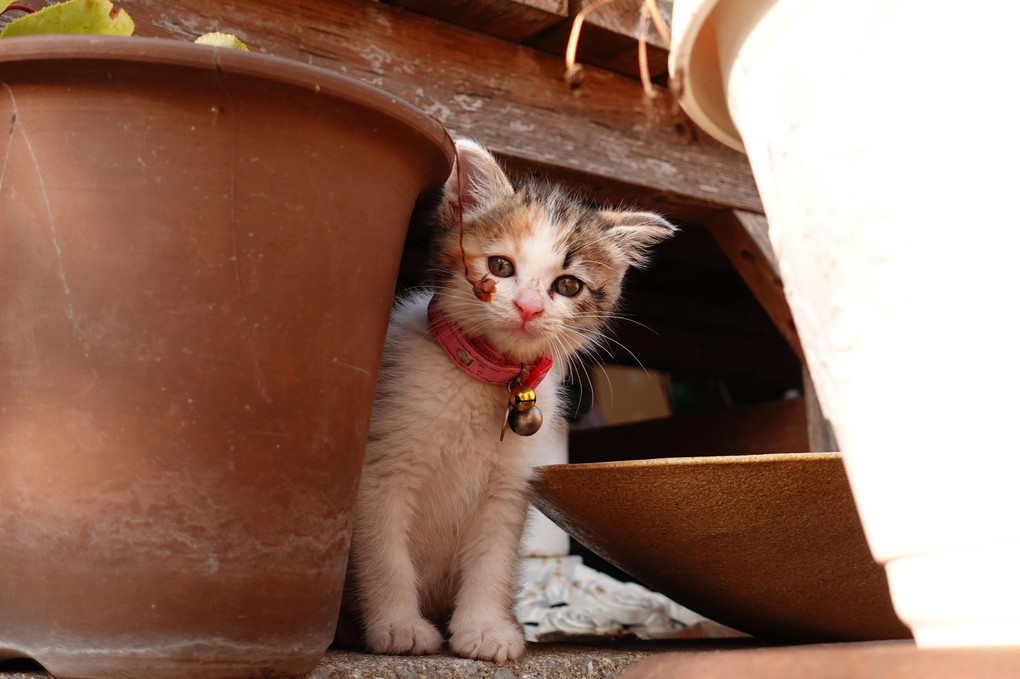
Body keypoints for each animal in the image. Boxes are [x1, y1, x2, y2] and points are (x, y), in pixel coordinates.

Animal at [346, 138, 673, 660]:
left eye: (568, 285)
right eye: (500, 267)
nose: (528, 307)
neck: (489, 382)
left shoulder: (508, 487)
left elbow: (493, 562)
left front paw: (485, 629)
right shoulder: (380, 470)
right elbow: (384, 554)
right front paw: (398, 627)